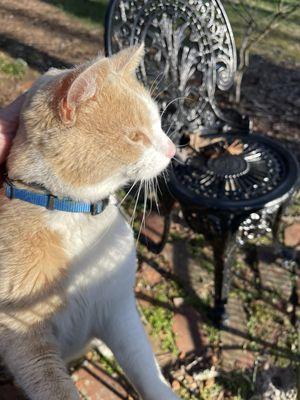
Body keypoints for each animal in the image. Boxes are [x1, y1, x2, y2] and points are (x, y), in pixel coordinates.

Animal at [0, 44, 180, 400]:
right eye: (136, 137)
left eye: (158, 124)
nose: (172, 149)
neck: (75, 214)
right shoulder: (25, 340)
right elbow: (55, 388)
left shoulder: (120, 311)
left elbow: (144, 366)